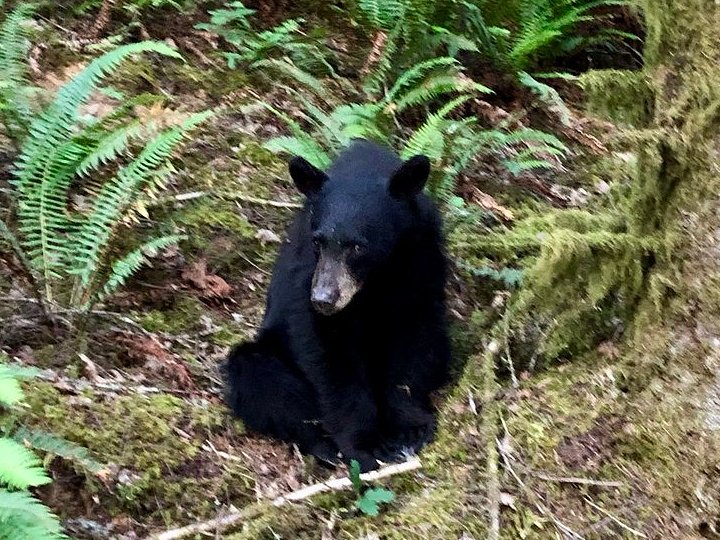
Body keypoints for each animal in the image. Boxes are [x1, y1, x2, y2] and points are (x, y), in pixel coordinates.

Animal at [224, 139, 451, 472]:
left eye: (357, 246)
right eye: (319, 242)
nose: (323, 298)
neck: (376, 279)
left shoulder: (421, 254)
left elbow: (416, 340)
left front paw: (411, 427)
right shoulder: (306, 271)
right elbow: (327, 355)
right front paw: (366, 443)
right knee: (260, 377)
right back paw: (324, 446)